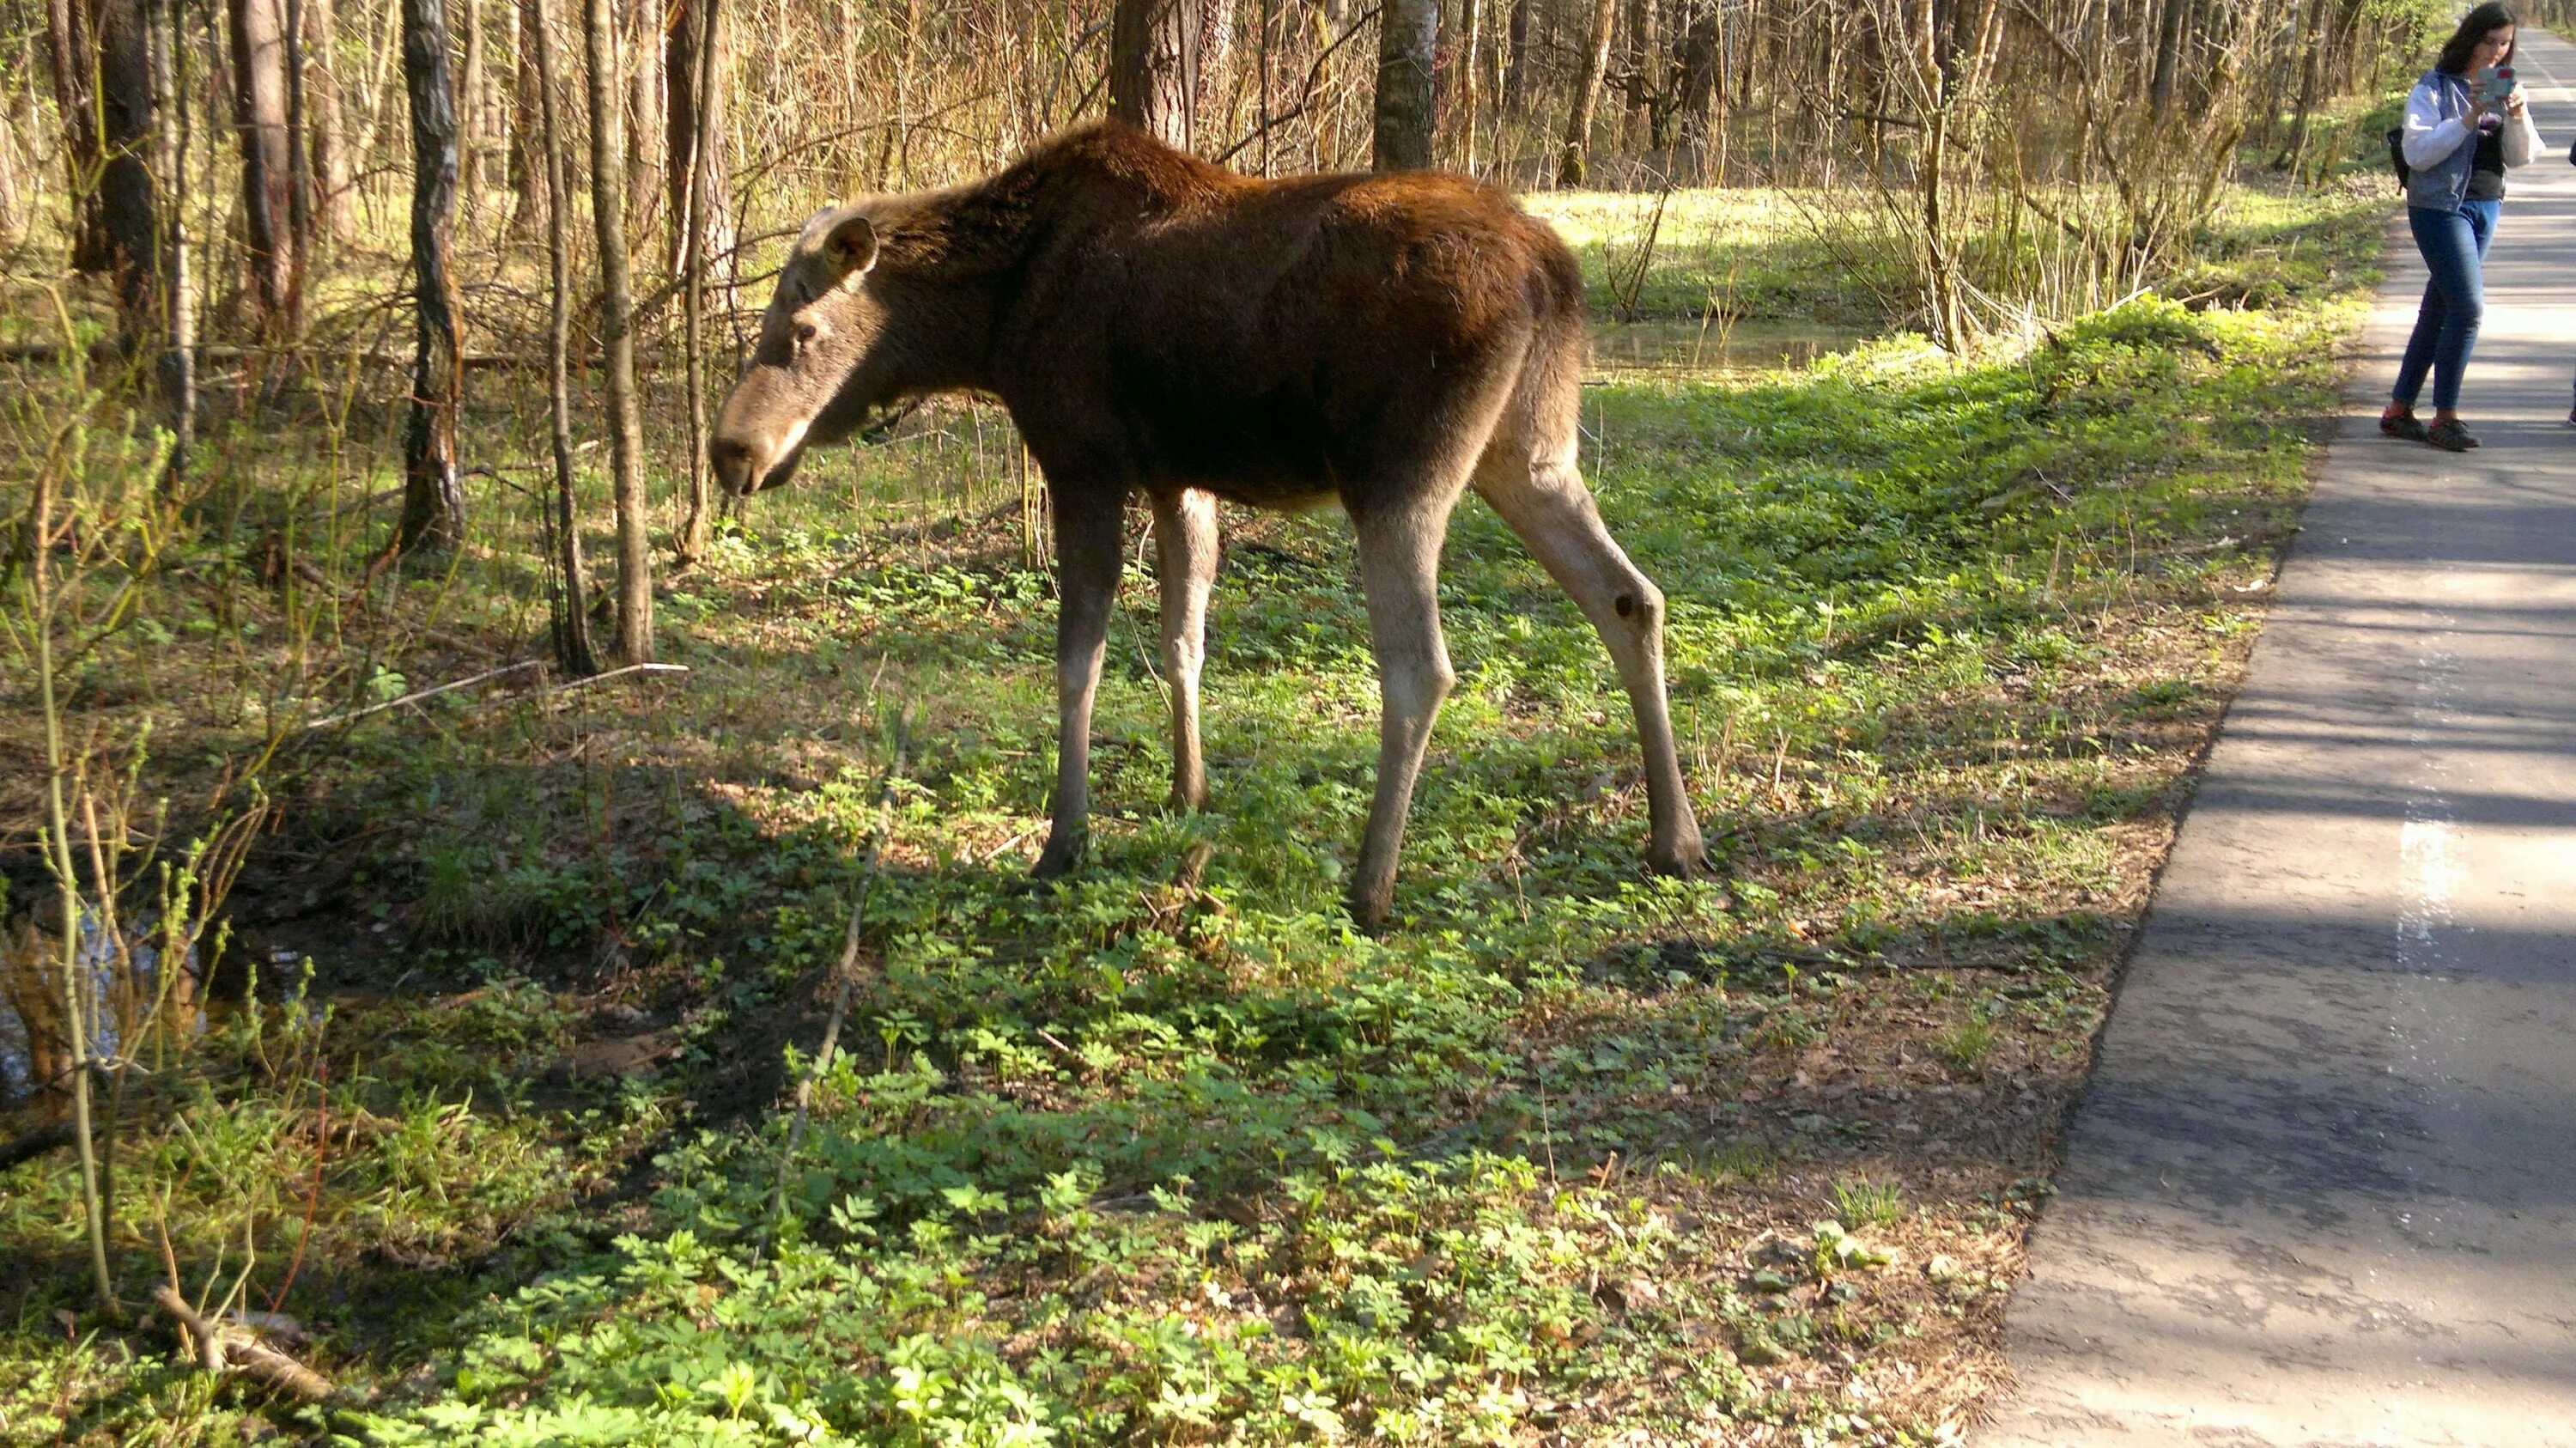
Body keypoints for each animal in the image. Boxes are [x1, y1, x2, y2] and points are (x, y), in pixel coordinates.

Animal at [716, 124, 1700, 922]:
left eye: (800, 330)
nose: (730, 450)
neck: (988, 325)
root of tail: (1554, 274)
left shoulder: (1084, 460)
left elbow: (1079, 658)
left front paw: (1065, 840)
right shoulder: (1178, 479)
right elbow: (1182, 636)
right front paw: (1186, 790)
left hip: (1401, 475)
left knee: (1422, 667)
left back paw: (1371, 885)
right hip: (1531, 452)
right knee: (1631, 597)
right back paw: (1674, 837)